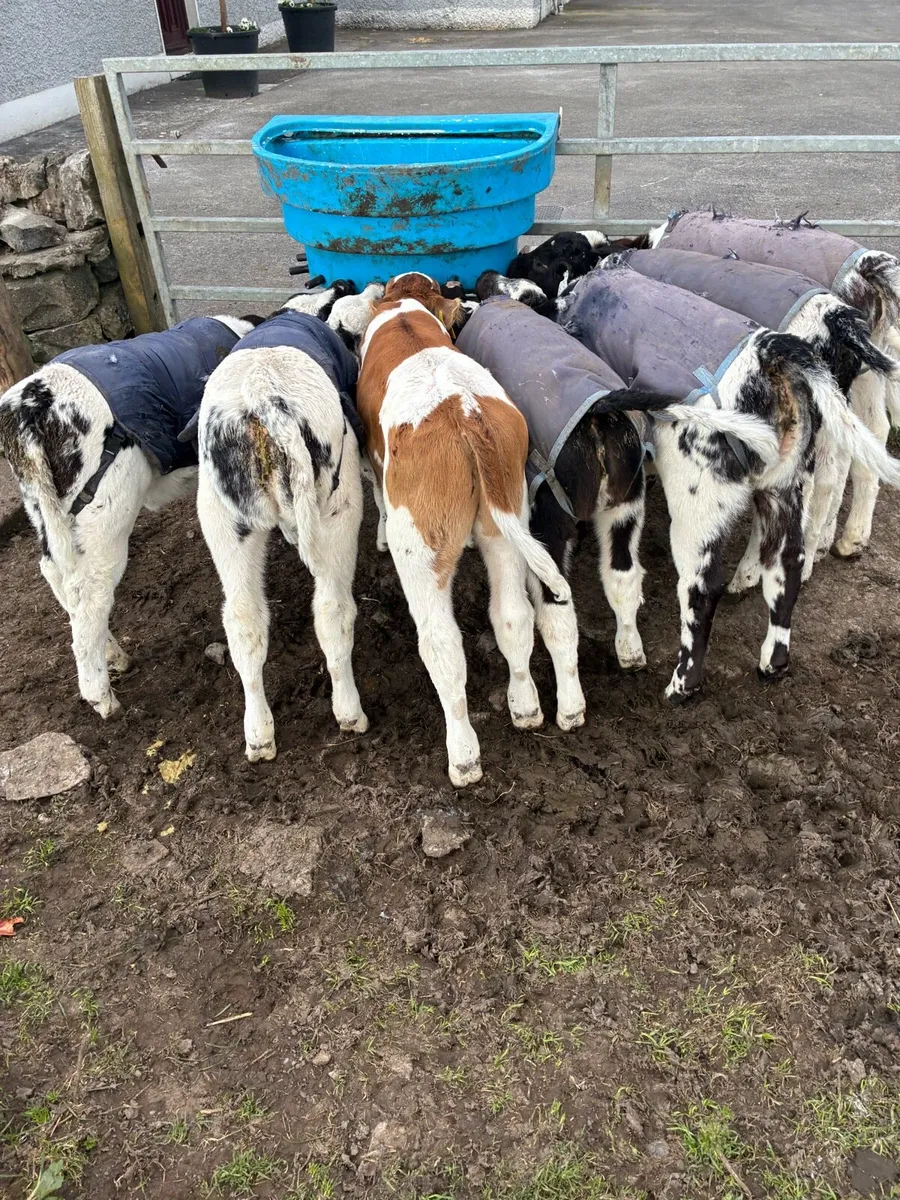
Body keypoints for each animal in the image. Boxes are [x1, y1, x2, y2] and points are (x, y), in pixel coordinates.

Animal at [0, 314, 255, 719]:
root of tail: (25, 409)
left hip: (44, 507)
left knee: (56, 576)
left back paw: (113, 655)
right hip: (105, 510)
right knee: (88, 593)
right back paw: (102, 697)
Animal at [197, 288, 368, 762]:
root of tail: (264, 402)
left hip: (224, 521)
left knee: (244, 620)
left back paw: (259, 734)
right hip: (339, 506)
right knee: (333, 610)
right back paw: (349, 712)